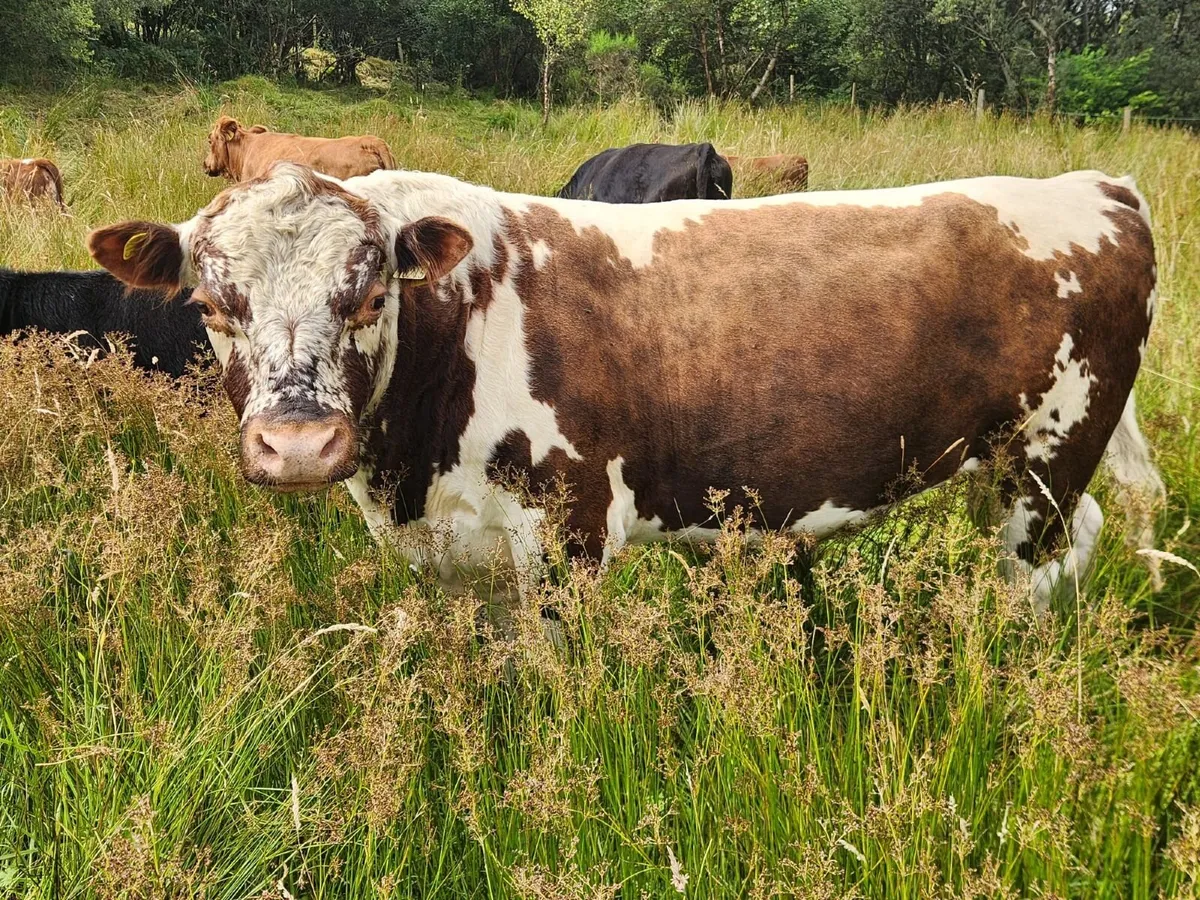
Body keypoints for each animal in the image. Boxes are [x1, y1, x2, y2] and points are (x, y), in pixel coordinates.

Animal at [88, 164, 1165, 608]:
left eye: (369, 295)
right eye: (210, 303)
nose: (299, 442)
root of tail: (1093, 185)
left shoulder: (569, 530)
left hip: (1050, 452)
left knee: (1043, 560)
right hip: (1017, 457)